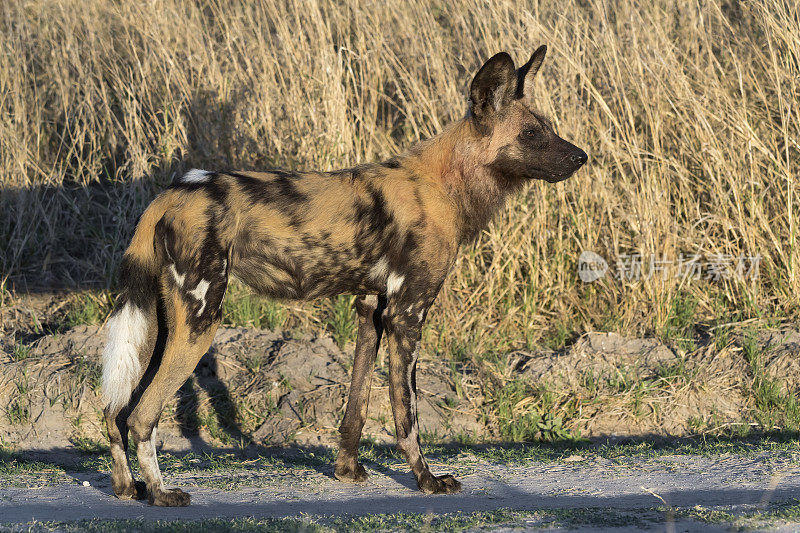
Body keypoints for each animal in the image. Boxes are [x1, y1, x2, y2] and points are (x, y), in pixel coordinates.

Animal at [103, 44, 584, 502]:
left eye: (547, 127)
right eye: (530, 134)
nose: (581, 156)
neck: (446, 183)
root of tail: (171, 192)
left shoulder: (372, 310)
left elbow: (357, 406)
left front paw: (347, 471)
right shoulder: (407, 316)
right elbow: (406, 414)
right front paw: (427, 481)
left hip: (162, 326)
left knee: (115, 410)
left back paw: (128, 488)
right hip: (201, 322)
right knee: (142, 415)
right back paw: (162, 494)